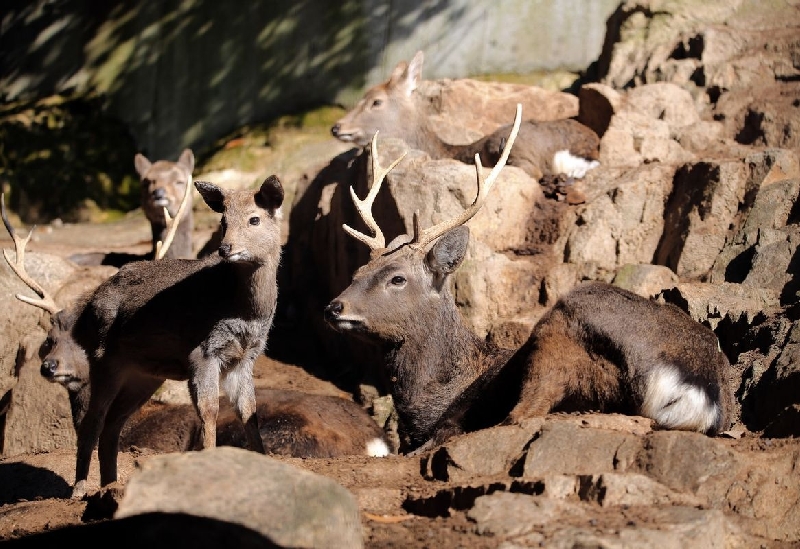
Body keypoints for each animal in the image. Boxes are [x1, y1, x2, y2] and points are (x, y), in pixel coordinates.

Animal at [0, 174, 284, 496]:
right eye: (223, 221)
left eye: (254, 219)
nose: (225, 248)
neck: (243, 309)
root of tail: (86, 309)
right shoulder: (202, 351)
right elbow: (209, 410)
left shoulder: (246, 356)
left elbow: (249, 410)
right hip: (104, 360)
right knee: (92, 423)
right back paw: (79, 491)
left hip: (144, 375)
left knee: (112, 425)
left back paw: (110, 485)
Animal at [324, 105, 732, 456]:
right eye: (357, 273)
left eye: (397, 279)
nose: (333, 307)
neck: (436, 398)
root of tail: (699, 388)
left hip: (561, 327)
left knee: (522, 414)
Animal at [332, 49, 600, 183]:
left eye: (376, 101)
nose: (337, 127)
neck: (446, 149)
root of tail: (592, 143)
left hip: (513, 145)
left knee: (535, 172)